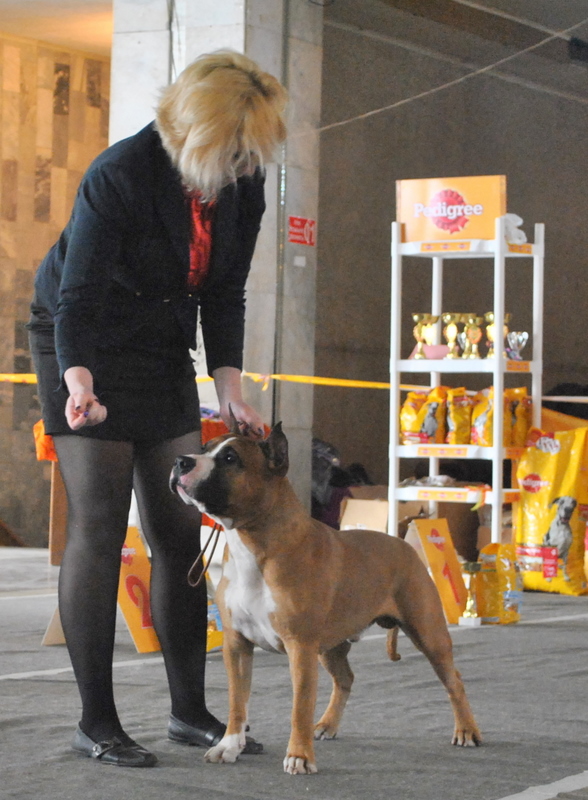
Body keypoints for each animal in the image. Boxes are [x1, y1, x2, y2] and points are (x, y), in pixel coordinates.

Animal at [170, 421, 481, 774]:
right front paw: (229, 746)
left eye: (230, 458)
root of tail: (405, 546)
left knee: (454, 681)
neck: (256, 542)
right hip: (330, 646)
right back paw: (327, 725)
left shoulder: (300, 647)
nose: (181, 461)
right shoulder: (237, 645)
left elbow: (299, 707)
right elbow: (238, 702)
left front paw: (299, 756)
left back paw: (466, 730)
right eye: (204, 448)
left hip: (429, 634)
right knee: (345, 679)